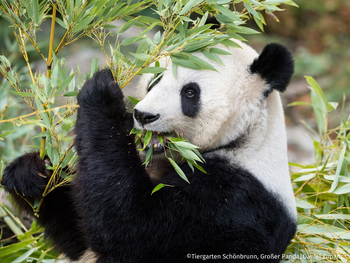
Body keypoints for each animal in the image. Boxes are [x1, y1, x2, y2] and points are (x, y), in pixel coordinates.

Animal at [3, 40, 298, 262]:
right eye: (155, 79)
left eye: (190, 93)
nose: (143, 115)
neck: (245, 139)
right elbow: (78, 231)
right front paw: (31, 174)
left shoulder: (231, 201)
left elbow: (131, 227)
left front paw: (103, 91)